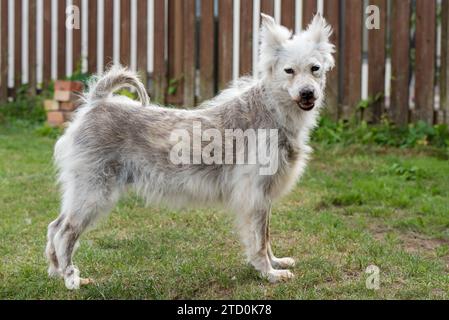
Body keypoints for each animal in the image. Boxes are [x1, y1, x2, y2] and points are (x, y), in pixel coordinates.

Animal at [45, 14, 332, 290]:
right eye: (289, 71)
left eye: (315, 69)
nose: (308, 93)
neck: (271, 109)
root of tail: (97, 102)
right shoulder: (254, 196)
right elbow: (259, 240)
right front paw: (269, 273)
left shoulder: (263, 197)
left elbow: (267, 236)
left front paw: (275, 262)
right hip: (94, 193)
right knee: (65, 233)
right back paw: (71, 278)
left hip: (82, 192)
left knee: (54, 227)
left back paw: (55, 270)